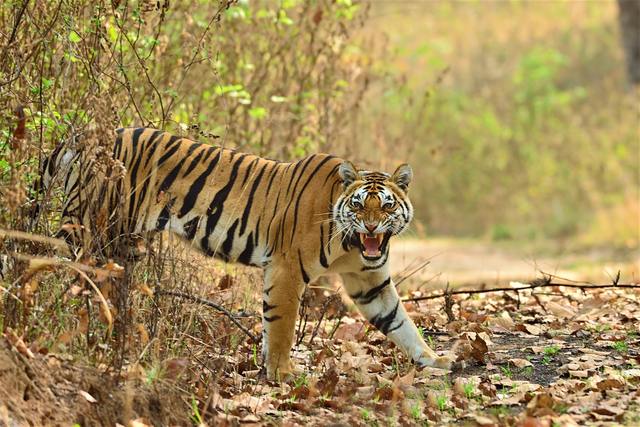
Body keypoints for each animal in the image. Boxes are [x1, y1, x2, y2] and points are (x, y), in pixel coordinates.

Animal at [39, 127, 453, 380]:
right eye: (359, 205)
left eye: (386, 206)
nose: (370, 228)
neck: (350, 243)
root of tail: (86, 133)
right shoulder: (287, 269)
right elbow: (282, 326)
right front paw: (283, 374)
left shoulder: (370, 281)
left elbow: (401, 322)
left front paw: (434, 359)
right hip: (87, 226)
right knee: (59, 267)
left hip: (120, 242)